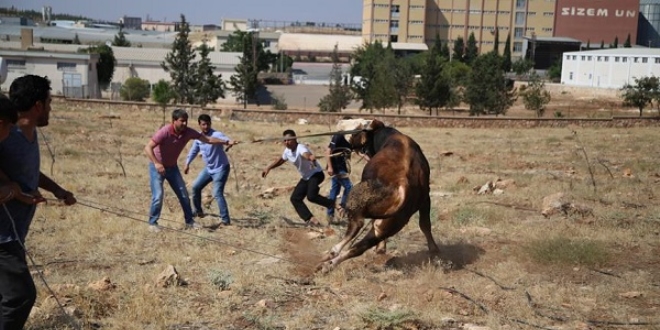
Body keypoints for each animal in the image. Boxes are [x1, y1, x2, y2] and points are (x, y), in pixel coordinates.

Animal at [320, 120, 444, 272]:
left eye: (357, 130)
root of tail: (403, 187)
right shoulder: (426, 199)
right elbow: (425, 225)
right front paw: (434, 249)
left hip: (360, 201)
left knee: (356, 226)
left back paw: (331, 253)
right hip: (389, 225)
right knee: (359, 248)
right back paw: (329, 263)